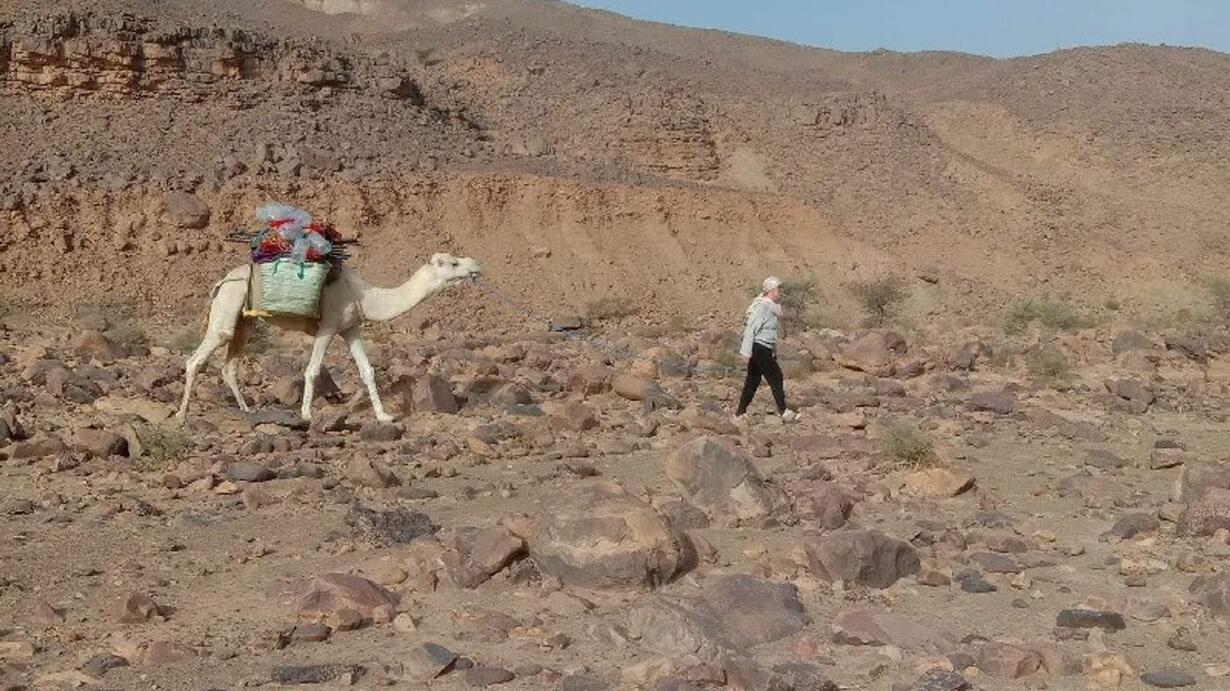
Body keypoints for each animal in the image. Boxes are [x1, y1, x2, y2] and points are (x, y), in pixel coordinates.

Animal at [176, 252, 482, 423]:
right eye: (453, 263)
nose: (477, 266)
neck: (365, 295)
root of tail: (223, 280)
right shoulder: (328, 326)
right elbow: (312, 370)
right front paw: (306, 414)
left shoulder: (350, 328)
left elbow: (367, 371)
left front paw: (385, 416)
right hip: (228, 305)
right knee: (197, 358)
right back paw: (182, 414)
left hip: (244, 320)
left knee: (229, 366)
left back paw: (247, 410)